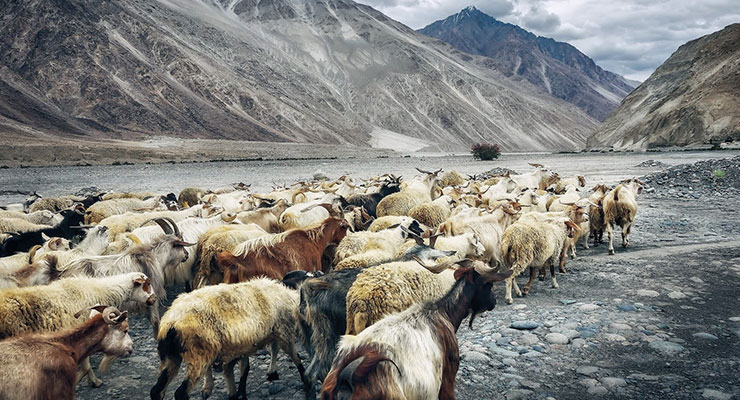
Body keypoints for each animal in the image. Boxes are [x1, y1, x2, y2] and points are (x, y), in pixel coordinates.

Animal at [150, 278, 312, 400]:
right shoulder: (283, 332)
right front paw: (305, 379)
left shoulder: (244, 346)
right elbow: (295, 356)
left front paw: (239, 393)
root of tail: (171, 323)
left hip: (171, 357)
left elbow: (244, 370)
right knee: (181, 393)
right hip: (199, 355)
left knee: (157, 391)